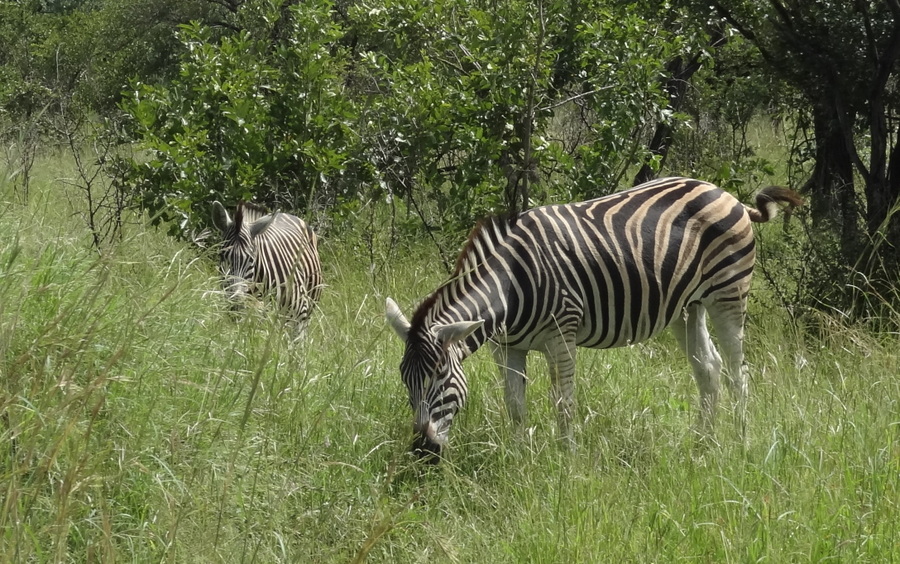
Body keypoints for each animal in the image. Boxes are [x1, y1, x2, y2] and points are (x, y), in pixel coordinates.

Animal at [386, 177, 802, 459]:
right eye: (405, 379)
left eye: (440, 377)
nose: (422, 451)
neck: (510, 287)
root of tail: (724, 192)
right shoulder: (507, 348)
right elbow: (514, 404)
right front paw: (520, 456)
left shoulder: (562, 335)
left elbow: (563, 404)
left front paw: (567, 462)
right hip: (688, 308)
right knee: (709, 368)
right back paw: (704, 444)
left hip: (728, 294)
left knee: (737, 371)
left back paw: (740, 443)